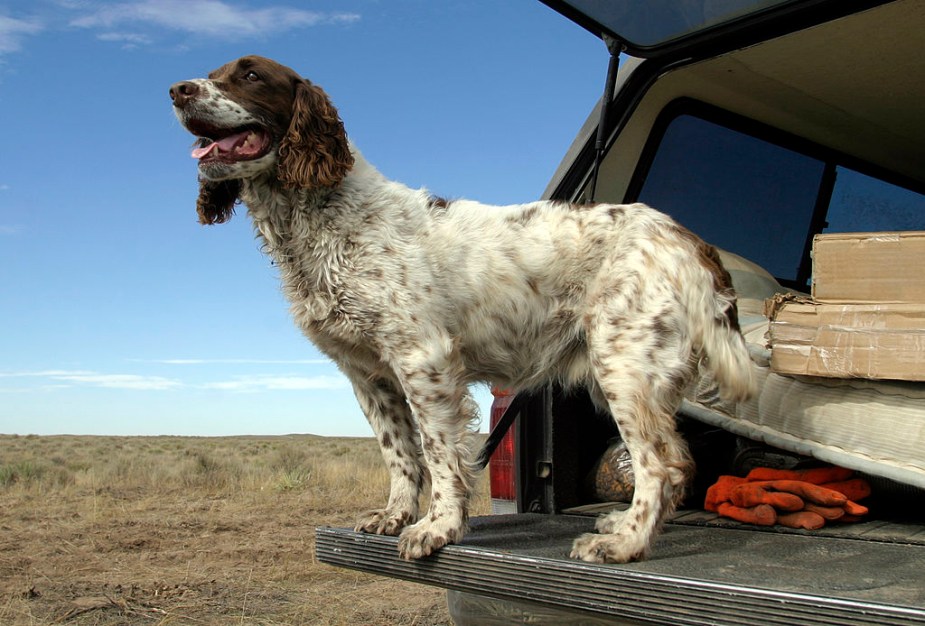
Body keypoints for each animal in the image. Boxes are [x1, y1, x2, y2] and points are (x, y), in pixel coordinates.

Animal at [170, 53, 756, 560]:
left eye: (250, 75)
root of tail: (687, 238)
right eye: (212, 74)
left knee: (662, 465)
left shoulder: (422, 360)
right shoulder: (368, 374)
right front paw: (395, 516)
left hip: (625, 367)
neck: (324, 220)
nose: (178, 90)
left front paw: (439, 527)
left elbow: (440, 455)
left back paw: (625, 544)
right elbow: (400, 454)